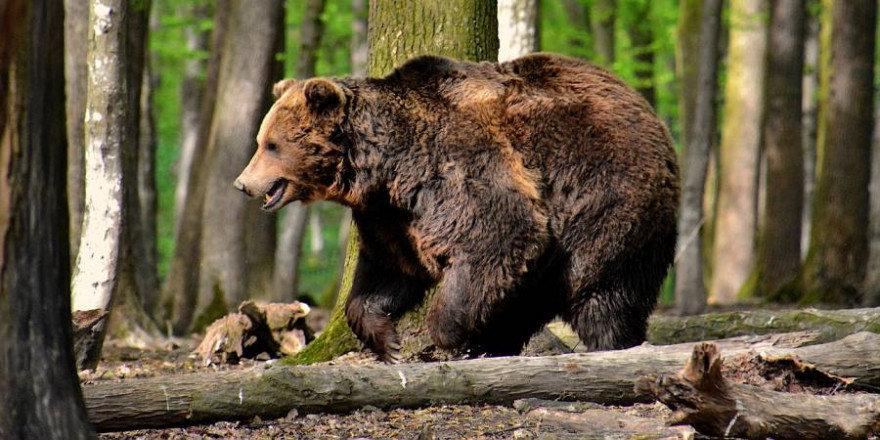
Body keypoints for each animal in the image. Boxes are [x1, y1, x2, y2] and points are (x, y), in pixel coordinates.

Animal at [234, 53, 680, 362]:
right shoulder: (391, 216)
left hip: (604, 197)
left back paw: (610, 341)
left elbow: (501, 235)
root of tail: (648, 111)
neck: (385, 167)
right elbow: (386, 273)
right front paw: (389, 341)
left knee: (602, 291)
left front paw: (449, 335)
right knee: (532, 296)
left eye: (271, 144)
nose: (242, 183)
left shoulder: (456, 171)